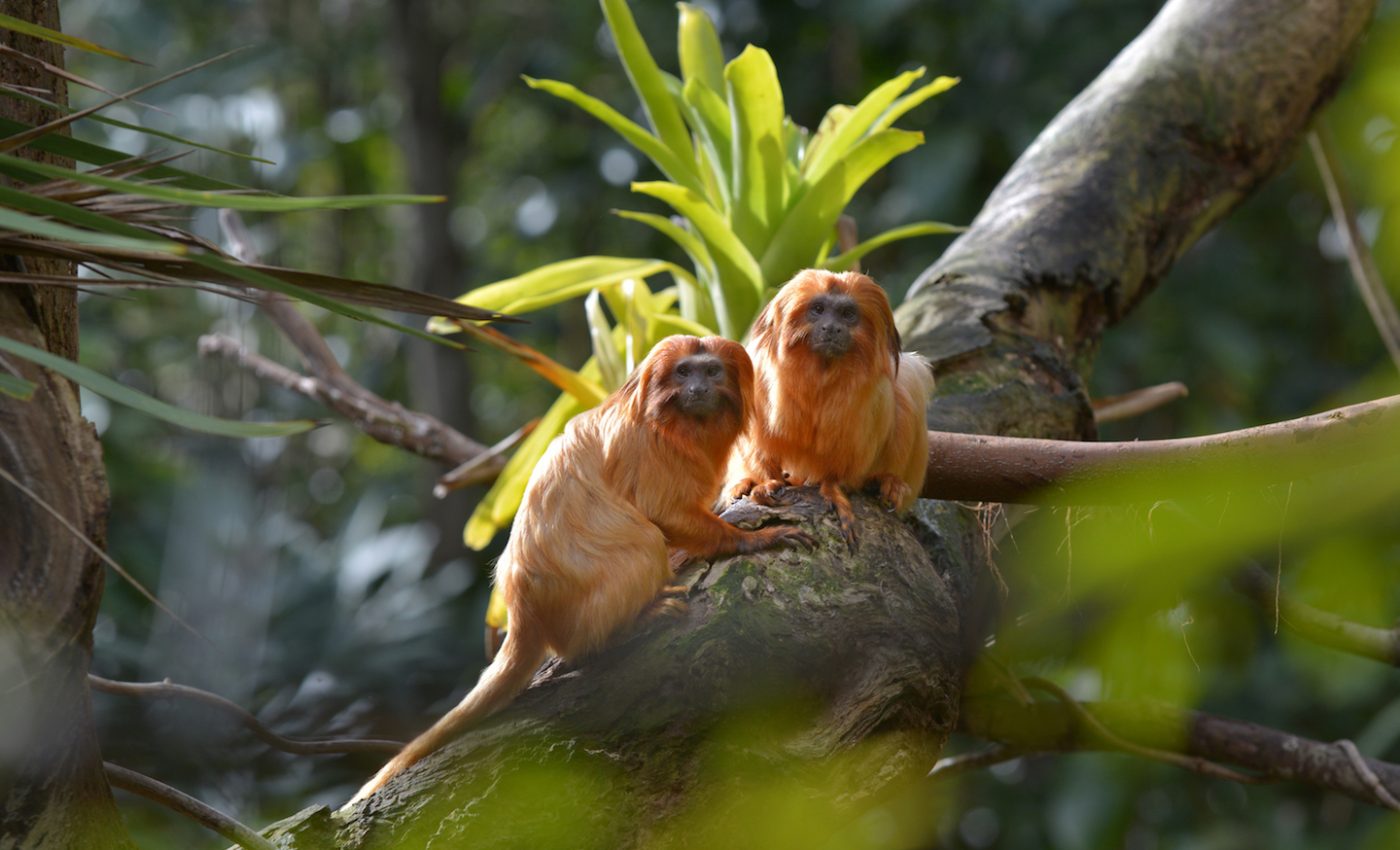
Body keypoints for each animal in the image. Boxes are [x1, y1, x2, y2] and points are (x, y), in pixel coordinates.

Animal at [350, 335, 812, 803]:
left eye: (712, 372)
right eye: (684, 373)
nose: (698, 389)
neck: (680, 424)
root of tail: (524, 608)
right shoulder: (646, 447)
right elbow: (661, 512)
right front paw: (752, 538)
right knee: (641, 545)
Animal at [726, 269, 935, 547]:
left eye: (847, 314)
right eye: (818, 309)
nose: (832, 328)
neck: (821, 371)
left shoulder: (870, 395)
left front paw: (833, 488)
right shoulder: (756, 373)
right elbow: (758, 442)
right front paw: (766, 483)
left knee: (908, 387)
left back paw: (888, 480)